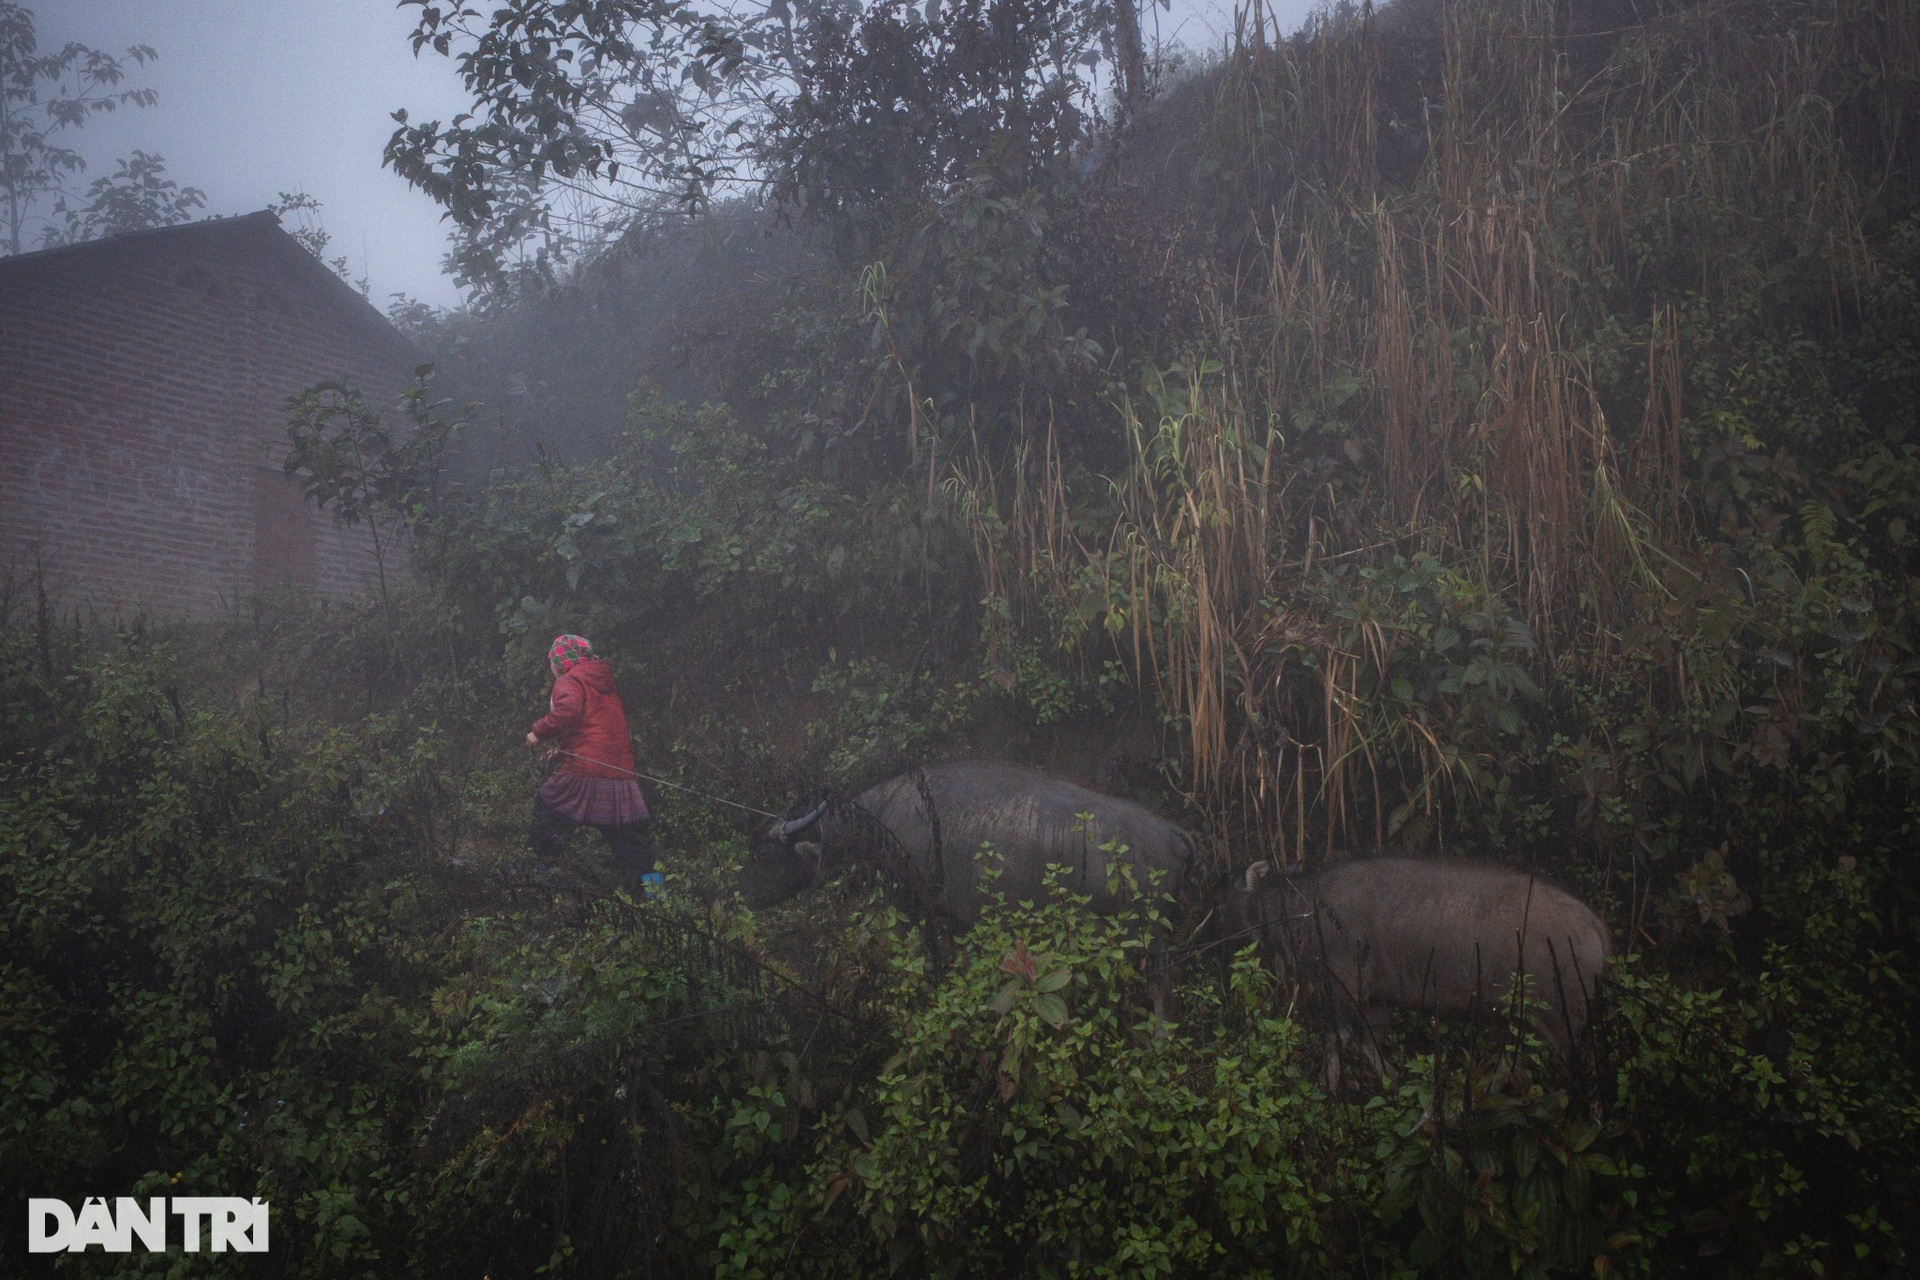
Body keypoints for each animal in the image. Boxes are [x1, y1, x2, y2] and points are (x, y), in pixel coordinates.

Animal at [741, 759, 1190, 1020]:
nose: (745, 894)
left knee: (1161, 985)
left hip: (1144, 933)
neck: (883, 822)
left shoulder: (914, 907)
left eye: (763, 854)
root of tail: (1171, 834)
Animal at [1221, 859, 1612, 1082]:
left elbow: (1337, 1040)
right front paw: (1392, 1080)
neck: (1304, 910)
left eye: (1234, 892)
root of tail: (1595, 926)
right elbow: (1369, 1045)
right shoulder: (1374, 998)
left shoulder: (1344, 985)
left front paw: (1329, 1086)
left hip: (1567, 1018)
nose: (1217, 925)